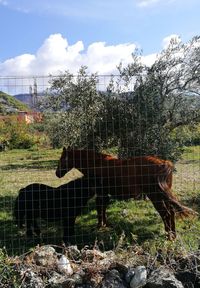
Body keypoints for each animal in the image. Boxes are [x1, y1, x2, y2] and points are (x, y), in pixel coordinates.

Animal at [55, 147, 196, 240]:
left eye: (62, 159)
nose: (57, 174)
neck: (98, 164)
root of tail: (164, 163)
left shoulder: (100, 193)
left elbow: (100, 209)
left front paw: (100, 225)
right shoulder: (104, 194)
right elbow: (103, 208)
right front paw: (105, 224)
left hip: (155, 197)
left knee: (165, 214)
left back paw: (169, 236)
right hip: (163, 196)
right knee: (171, 212)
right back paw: (173, 235)